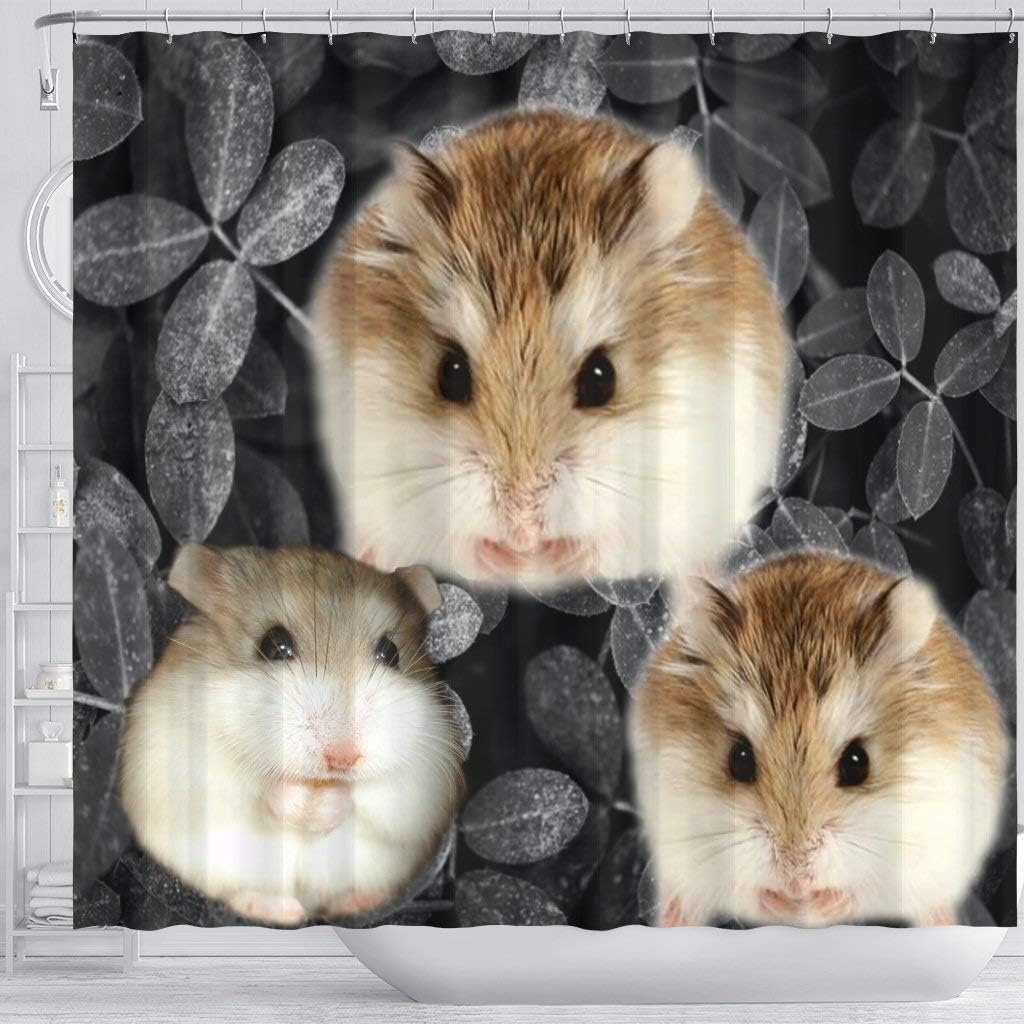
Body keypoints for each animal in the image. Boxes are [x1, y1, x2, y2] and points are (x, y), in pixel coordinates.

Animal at [118, 544, 465, 926]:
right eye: (274, 645)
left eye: (391, 653)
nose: (342, 759)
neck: (316, 780)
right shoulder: (183, 761)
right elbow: (253, 787)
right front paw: (301, 804)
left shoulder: (424, 781)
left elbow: (368, 798)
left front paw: (325, 805)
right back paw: (277, 910)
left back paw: (359, 902)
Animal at [309, 109, 788, 589]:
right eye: (450, 374)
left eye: (601, 379)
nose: (523, 531)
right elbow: (458, 544)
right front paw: (513, 560)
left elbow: (605, 543)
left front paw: (547, 558)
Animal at [629, 552, 1007, 928]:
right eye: (739, 760)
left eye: (858, 763)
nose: (796, 878)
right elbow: (749, 891)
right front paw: (789, 905)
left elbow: (856, 892)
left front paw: (811, 907)